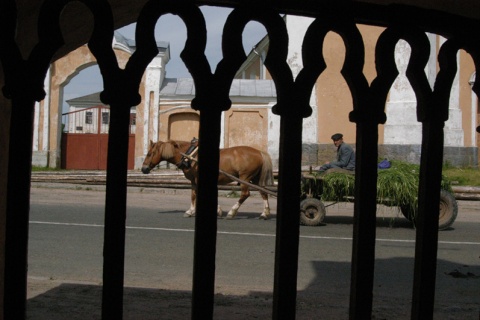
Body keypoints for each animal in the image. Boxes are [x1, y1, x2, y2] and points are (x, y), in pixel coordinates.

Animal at [140, 141, 274, 220]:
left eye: (149, 153)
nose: (143, 169)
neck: (191, 156)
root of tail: (259, 152)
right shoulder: (193, 181)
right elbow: (193, 195)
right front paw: (191, 211)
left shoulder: (198, 179)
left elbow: (197, 195)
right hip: (255, 179)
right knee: (263, 192)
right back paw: (264, 213)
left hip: (245, 177)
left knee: (245, 194)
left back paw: (232, 212)